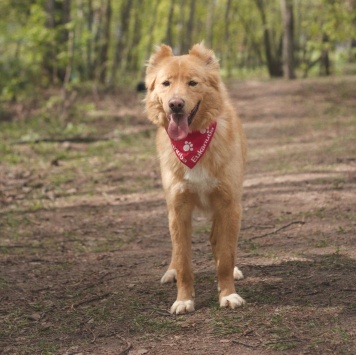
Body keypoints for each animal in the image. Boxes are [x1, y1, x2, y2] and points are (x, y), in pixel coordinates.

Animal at [145, 42, 248, 314]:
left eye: (193, 83)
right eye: (166, 83)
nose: (176, 104)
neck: (193, 141)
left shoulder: (228, 204)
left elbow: (226, 255)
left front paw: (228, 294)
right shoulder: (178, 207)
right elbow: (183, 260)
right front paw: (184, 299)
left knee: (220, 241)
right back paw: (170, 271)